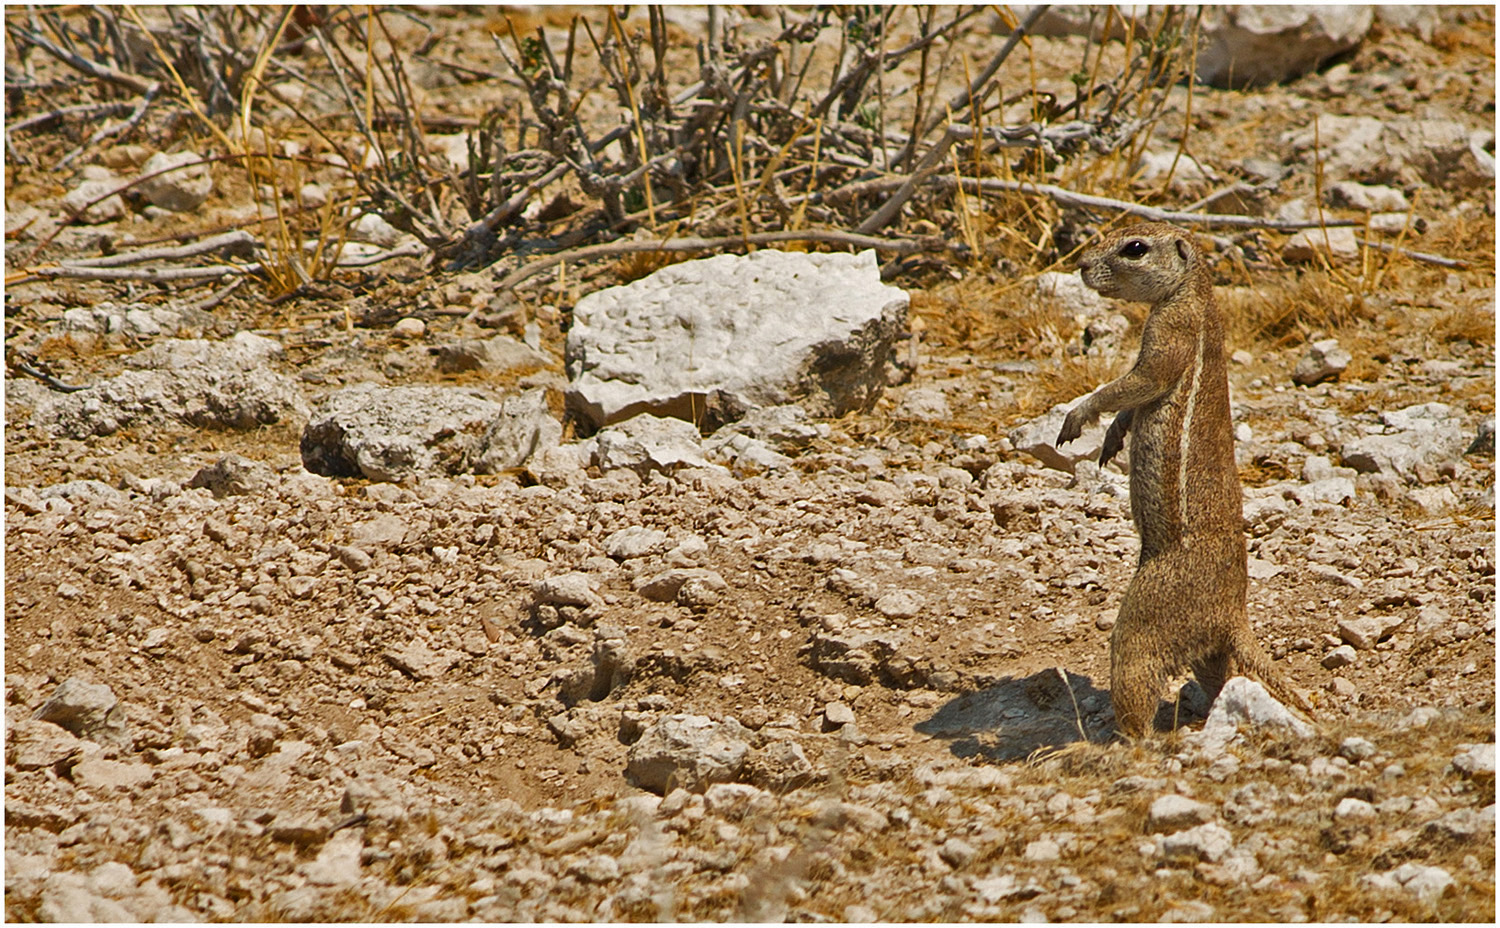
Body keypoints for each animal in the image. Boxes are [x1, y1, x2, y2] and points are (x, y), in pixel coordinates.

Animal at [1056, 221, 1314, 737]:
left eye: (1134, 248)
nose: (1080, 266)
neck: (1191, 291)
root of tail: (1234, 615)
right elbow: (1130, 402)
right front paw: (1112, 437)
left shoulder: (1169, 333)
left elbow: (1135, 383)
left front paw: (1080, 415)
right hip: (1207, 650)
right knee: (1223, 677)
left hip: (1145, 620)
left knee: (1136, 684)